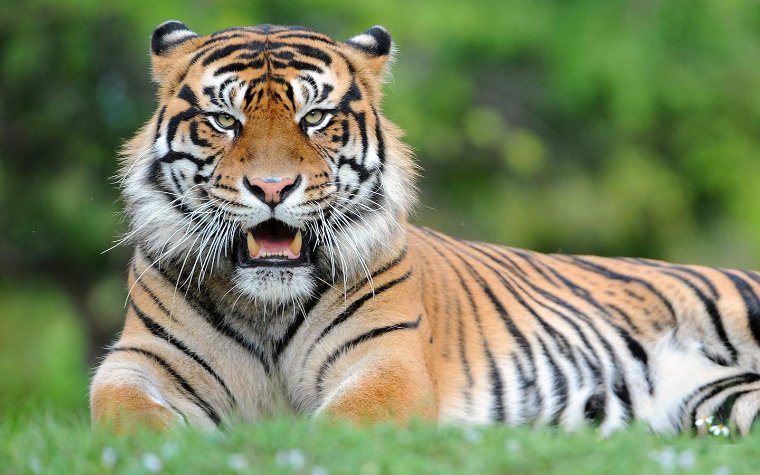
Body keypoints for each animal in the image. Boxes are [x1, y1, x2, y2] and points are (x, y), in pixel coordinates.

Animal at [90, 21, 760, 436]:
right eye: (224, 120)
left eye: (315, 117)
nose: (273, 188)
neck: (267, 308)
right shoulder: (140, 358)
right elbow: (121, 411)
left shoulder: (388, 360)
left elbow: (343, 423)